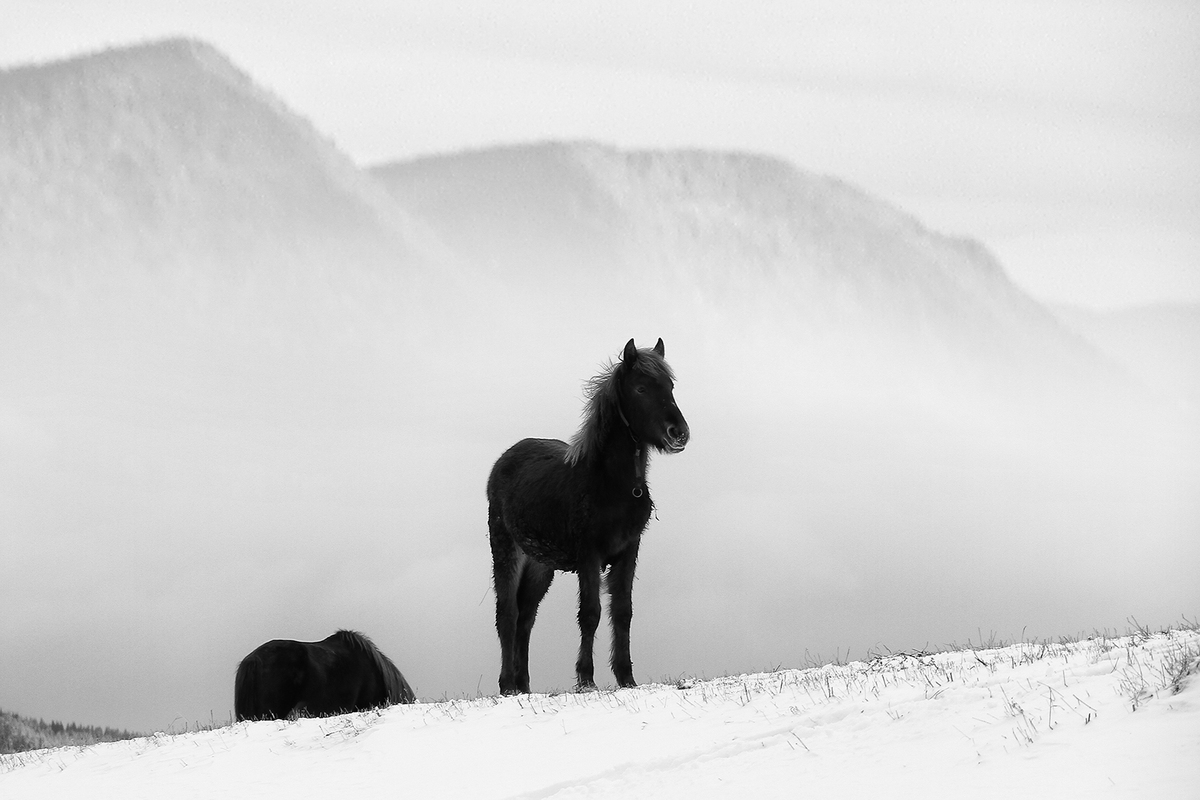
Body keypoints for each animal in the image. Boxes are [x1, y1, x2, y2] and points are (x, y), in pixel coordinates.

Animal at [487, 338, 689, 695]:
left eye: (670, 386)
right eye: (640, 388)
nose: (678, 433)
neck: (613, 484)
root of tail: (502, 463)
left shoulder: (628, 552)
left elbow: (622, 612)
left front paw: (626, 677)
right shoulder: (589, 555)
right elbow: (591, 612)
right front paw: (586, 679)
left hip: (540, 566)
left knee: (526, 618)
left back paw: (524, 685)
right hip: (507, 552)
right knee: (508, 615)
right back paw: (508, 685)